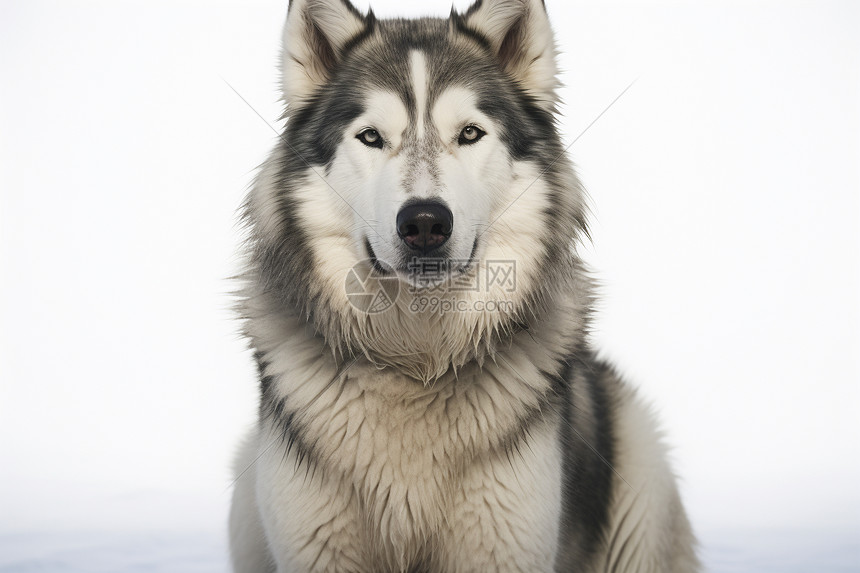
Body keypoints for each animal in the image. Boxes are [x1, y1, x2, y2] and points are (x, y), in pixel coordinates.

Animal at [230, 0, 700, 568]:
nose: (425, 222)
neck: (418, 359)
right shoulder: (317, 544)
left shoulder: (501, 542)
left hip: (640, 470)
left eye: (470, 134)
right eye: (371, 137)